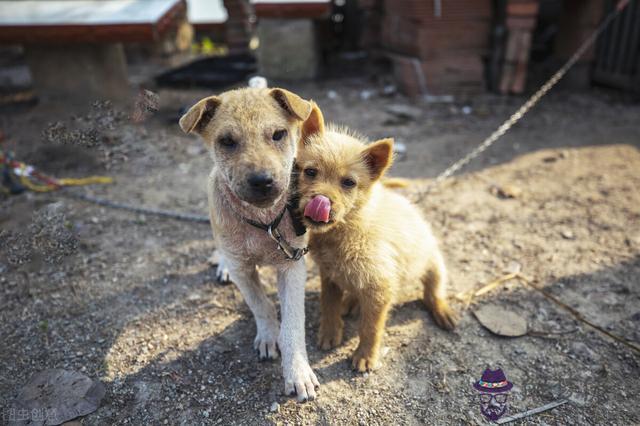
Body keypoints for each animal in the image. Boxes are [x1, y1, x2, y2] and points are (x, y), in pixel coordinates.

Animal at [179, 88, 320, 402]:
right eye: (227, 141)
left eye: (279, 134)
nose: (262, 181)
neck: (264, 224)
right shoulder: (243, 270)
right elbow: (260, 304)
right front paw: (268, 337)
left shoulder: (292, 267)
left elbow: (293, 324)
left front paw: (298, 372)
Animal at [298, 104, 458, 372]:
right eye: (310, 172)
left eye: (349, 182)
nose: (320, 202)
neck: (347, 231)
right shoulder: (328, 275)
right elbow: (328, 305)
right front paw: (330, 333)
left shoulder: (380, 288)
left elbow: (370, 327)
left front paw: (365, 356)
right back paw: (350, 303)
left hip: (434, 263)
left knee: (433, 289)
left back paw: (443, 311)